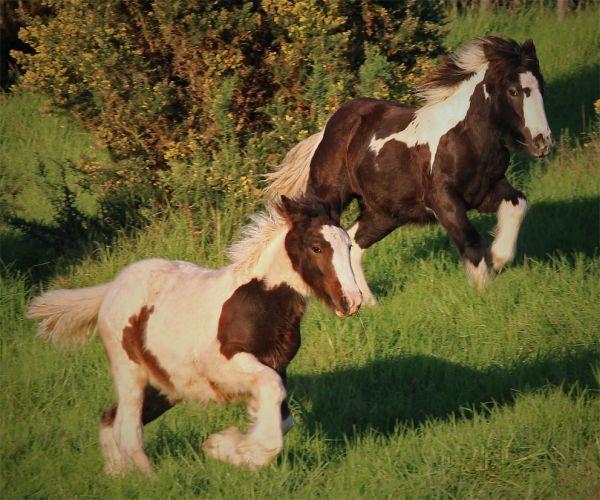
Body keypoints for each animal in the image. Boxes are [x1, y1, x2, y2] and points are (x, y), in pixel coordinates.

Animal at [27, 195, 360, 472]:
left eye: (349, 246)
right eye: (317, 247)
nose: (351, 301)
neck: (258, 299)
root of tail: (111, 288)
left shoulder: (278, 366)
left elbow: (283, 416)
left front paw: (227, 448)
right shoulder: (230, 366)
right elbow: (273, 396)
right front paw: (232, 449)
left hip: (164, 385)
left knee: (109, 418)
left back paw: (117, 475)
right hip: (129, 371)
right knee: (126, 429)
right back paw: (149, 480)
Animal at [266, 37, 552, 302]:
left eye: (542, 87)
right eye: (514, 91)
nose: (543, 143)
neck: (465, 137)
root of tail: (326, 131)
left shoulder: (486, 191)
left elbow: (518, 203)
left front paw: (500, 257)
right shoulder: (444, 201)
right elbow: (470, 240)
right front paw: (485, 293)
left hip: (384, 213)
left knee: (352, 243)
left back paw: (369, 304)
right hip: (329, 198)